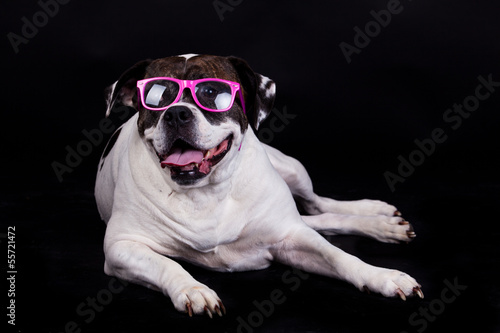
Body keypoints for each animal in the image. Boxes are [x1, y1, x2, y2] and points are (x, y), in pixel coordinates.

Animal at [94, 53, 422, 316]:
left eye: (211, 92)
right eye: (156, 95)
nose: (176, 113)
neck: (206, 191)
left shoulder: (292, 239)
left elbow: (339, 256)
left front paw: (381, 276)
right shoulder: (121, 248)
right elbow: (167, 264)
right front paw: (192, 289)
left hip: (294, 171)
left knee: (318, 205)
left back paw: (378, 216)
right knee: (318, 218)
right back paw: (385, 225)